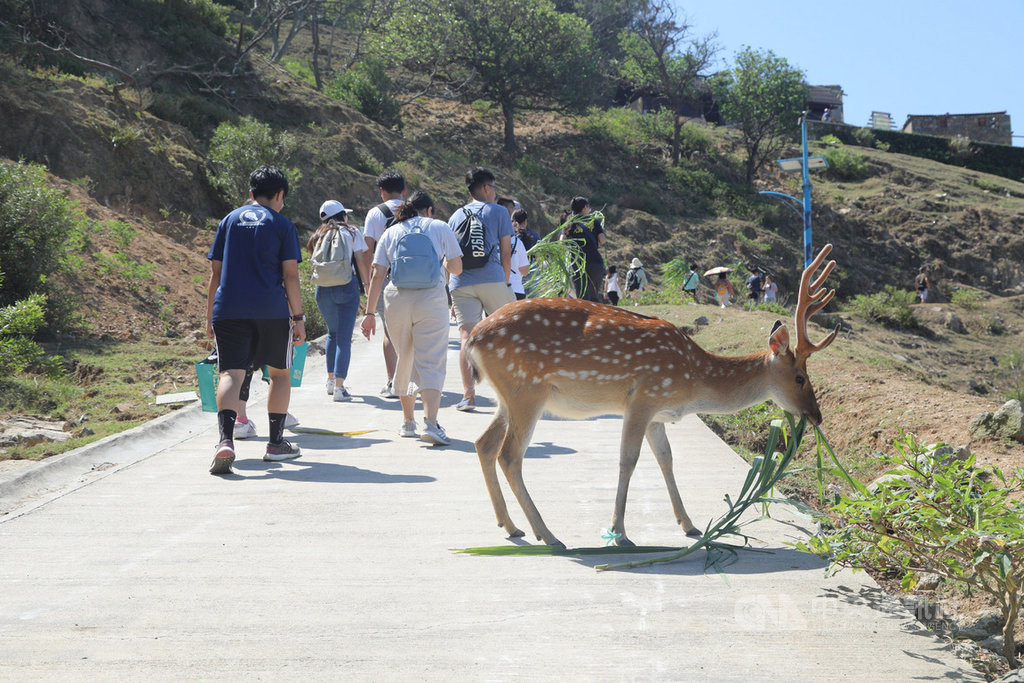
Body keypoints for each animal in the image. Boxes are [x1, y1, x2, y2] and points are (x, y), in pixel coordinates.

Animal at [466, 242, 839, 548]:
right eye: (800, 377)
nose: (817, 416)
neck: (692, 379)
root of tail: (473, 339)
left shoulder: (658, 413)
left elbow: (666, 459)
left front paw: (689, 525)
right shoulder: (643, 397)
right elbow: (628, 460)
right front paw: (619, 533)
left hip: (508, 395)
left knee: (484, 443)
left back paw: (510, 526)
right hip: (527, 390)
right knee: (510, 455)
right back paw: (548, 534)